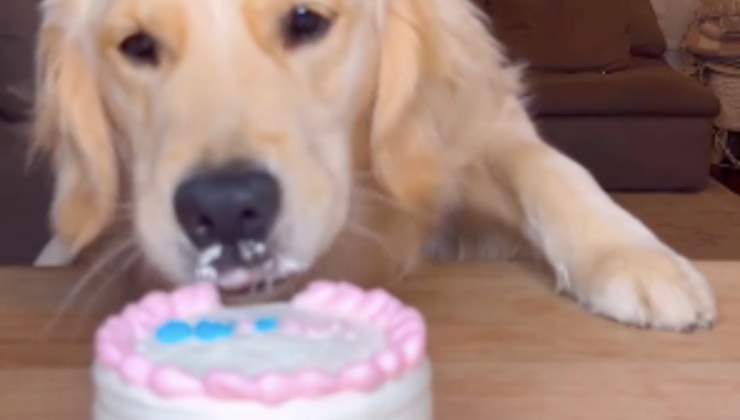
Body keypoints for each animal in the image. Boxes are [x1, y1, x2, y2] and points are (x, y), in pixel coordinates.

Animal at [33, 0, 716, 332]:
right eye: (136, 45)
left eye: (305, 19)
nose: (224, 210)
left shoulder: (471, 132)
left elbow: (549, 167)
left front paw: (634, 258)